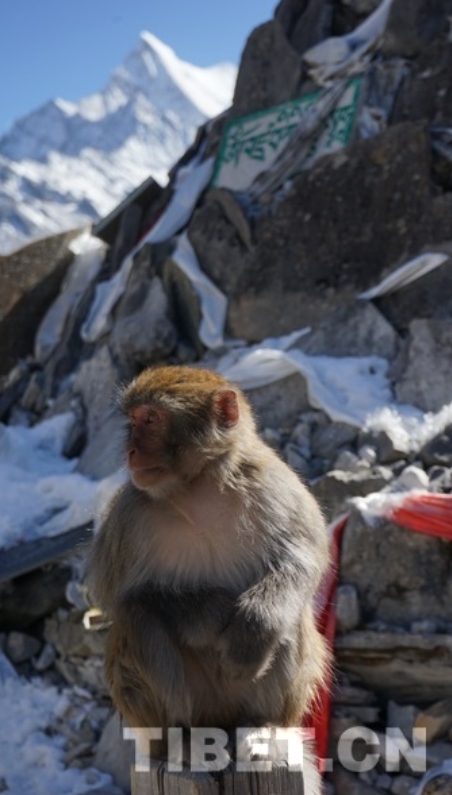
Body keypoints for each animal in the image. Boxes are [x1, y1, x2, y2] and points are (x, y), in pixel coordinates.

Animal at [87, 365, 329, 783]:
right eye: (133, 421)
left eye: (151, 419)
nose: (131, 451)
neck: (198, 488)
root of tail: (222, 719)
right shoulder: (127, 514)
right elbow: (116, 597)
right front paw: (214, 613)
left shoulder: (272, 482)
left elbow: (305, 556)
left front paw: (255, 625)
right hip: (183, 707)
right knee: (137, 616)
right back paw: (184, 739)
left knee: (291, 616)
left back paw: (264, 726)